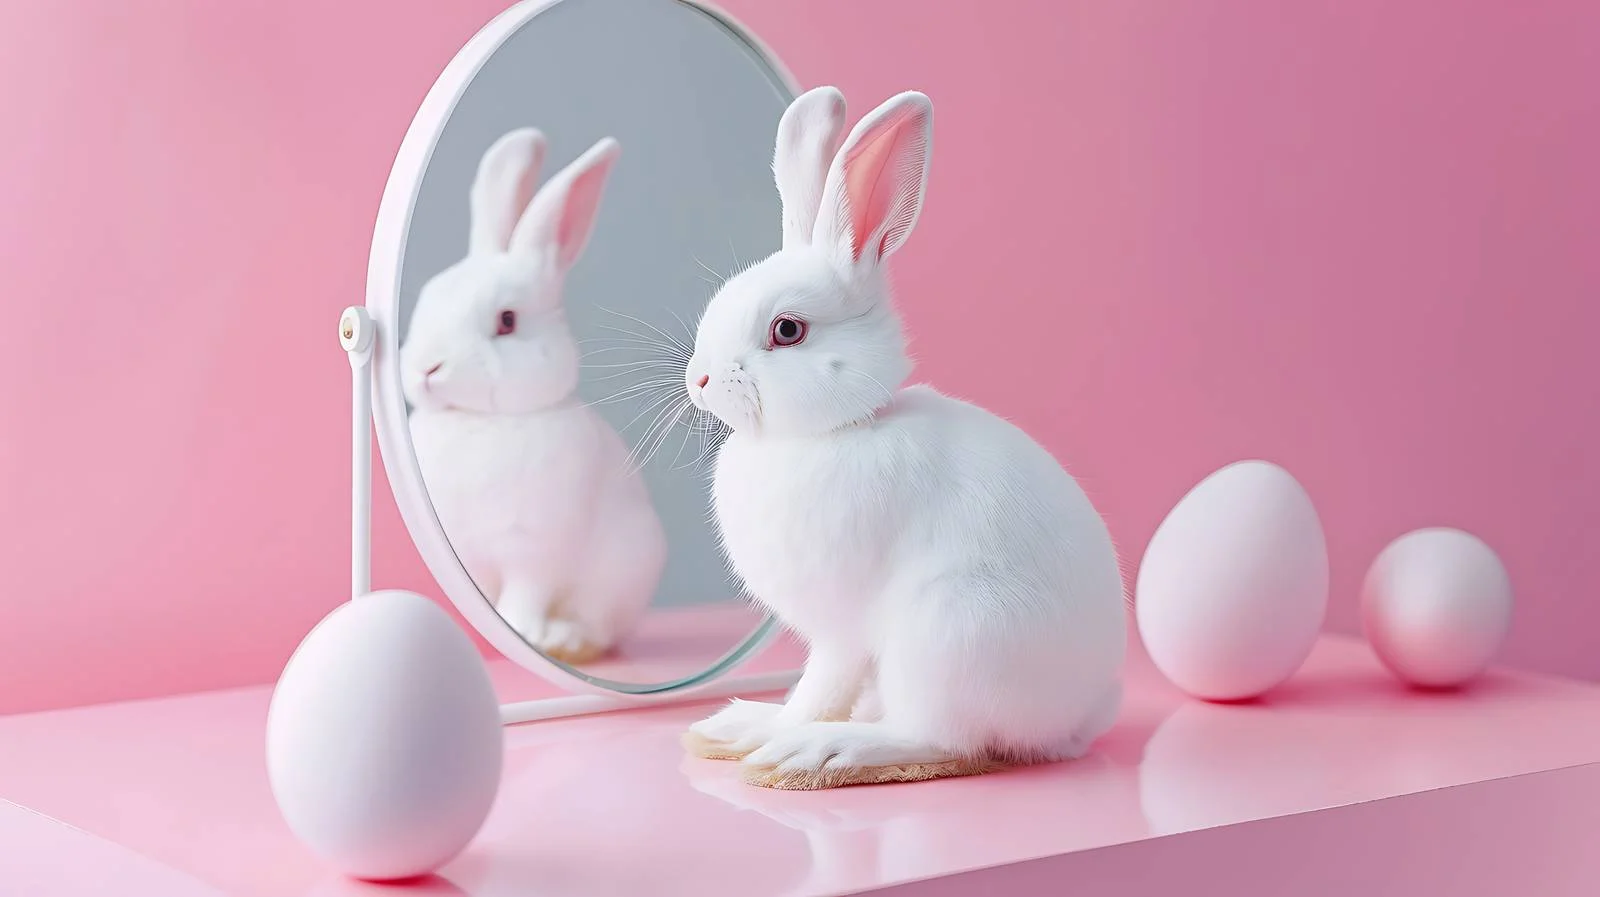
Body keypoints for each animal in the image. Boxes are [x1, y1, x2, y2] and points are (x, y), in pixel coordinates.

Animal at [401, 128, 667, 665]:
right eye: (429, 298)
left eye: (507, 321)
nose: (426, 369)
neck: (478, 419)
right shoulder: (472, 560)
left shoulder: (534, 549)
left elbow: (525, 596)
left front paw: (522, 632)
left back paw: (566, 640)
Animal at [680, 87, 1127, 790]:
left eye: (787, 330)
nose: (697, 379)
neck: (837, 429)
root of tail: (1075, 719)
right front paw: (747, 729)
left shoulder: (841, 628)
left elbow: (819, 688)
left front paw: (782, 737)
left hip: (947, 635)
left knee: (943, 739)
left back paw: (828, 751)